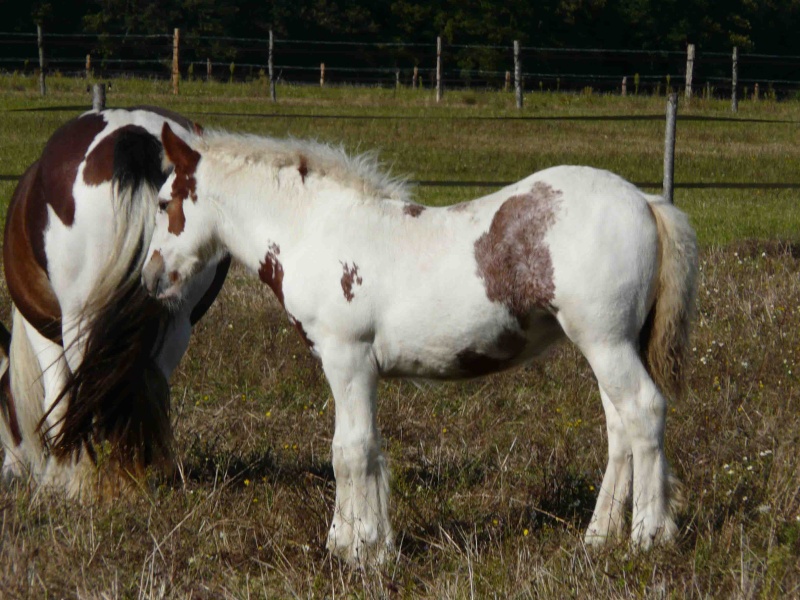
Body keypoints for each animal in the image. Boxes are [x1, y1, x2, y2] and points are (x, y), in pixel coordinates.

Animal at [0, 108, 231, 496]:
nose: (8, 473)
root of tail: (138, 137)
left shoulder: (42, 331)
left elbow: (59, 402)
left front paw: (60, 477)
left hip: (81, 323)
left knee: (90, 393)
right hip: (175, 323)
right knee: (149, 386)